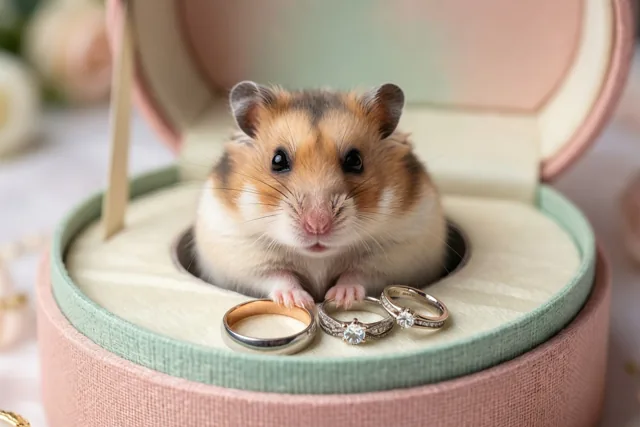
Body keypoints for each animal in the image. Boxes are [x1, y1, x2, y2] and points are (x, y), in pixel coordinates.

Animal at [193, 81, 447, 309]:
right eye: (278, 160)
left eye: (355, 160)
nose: (317, 226)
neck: (318, 258)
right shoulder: (240, 251)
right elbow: (277, 276)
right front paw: (299, 301)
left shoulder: (398, 252)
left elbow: (358, 273)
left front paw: (339, 298)